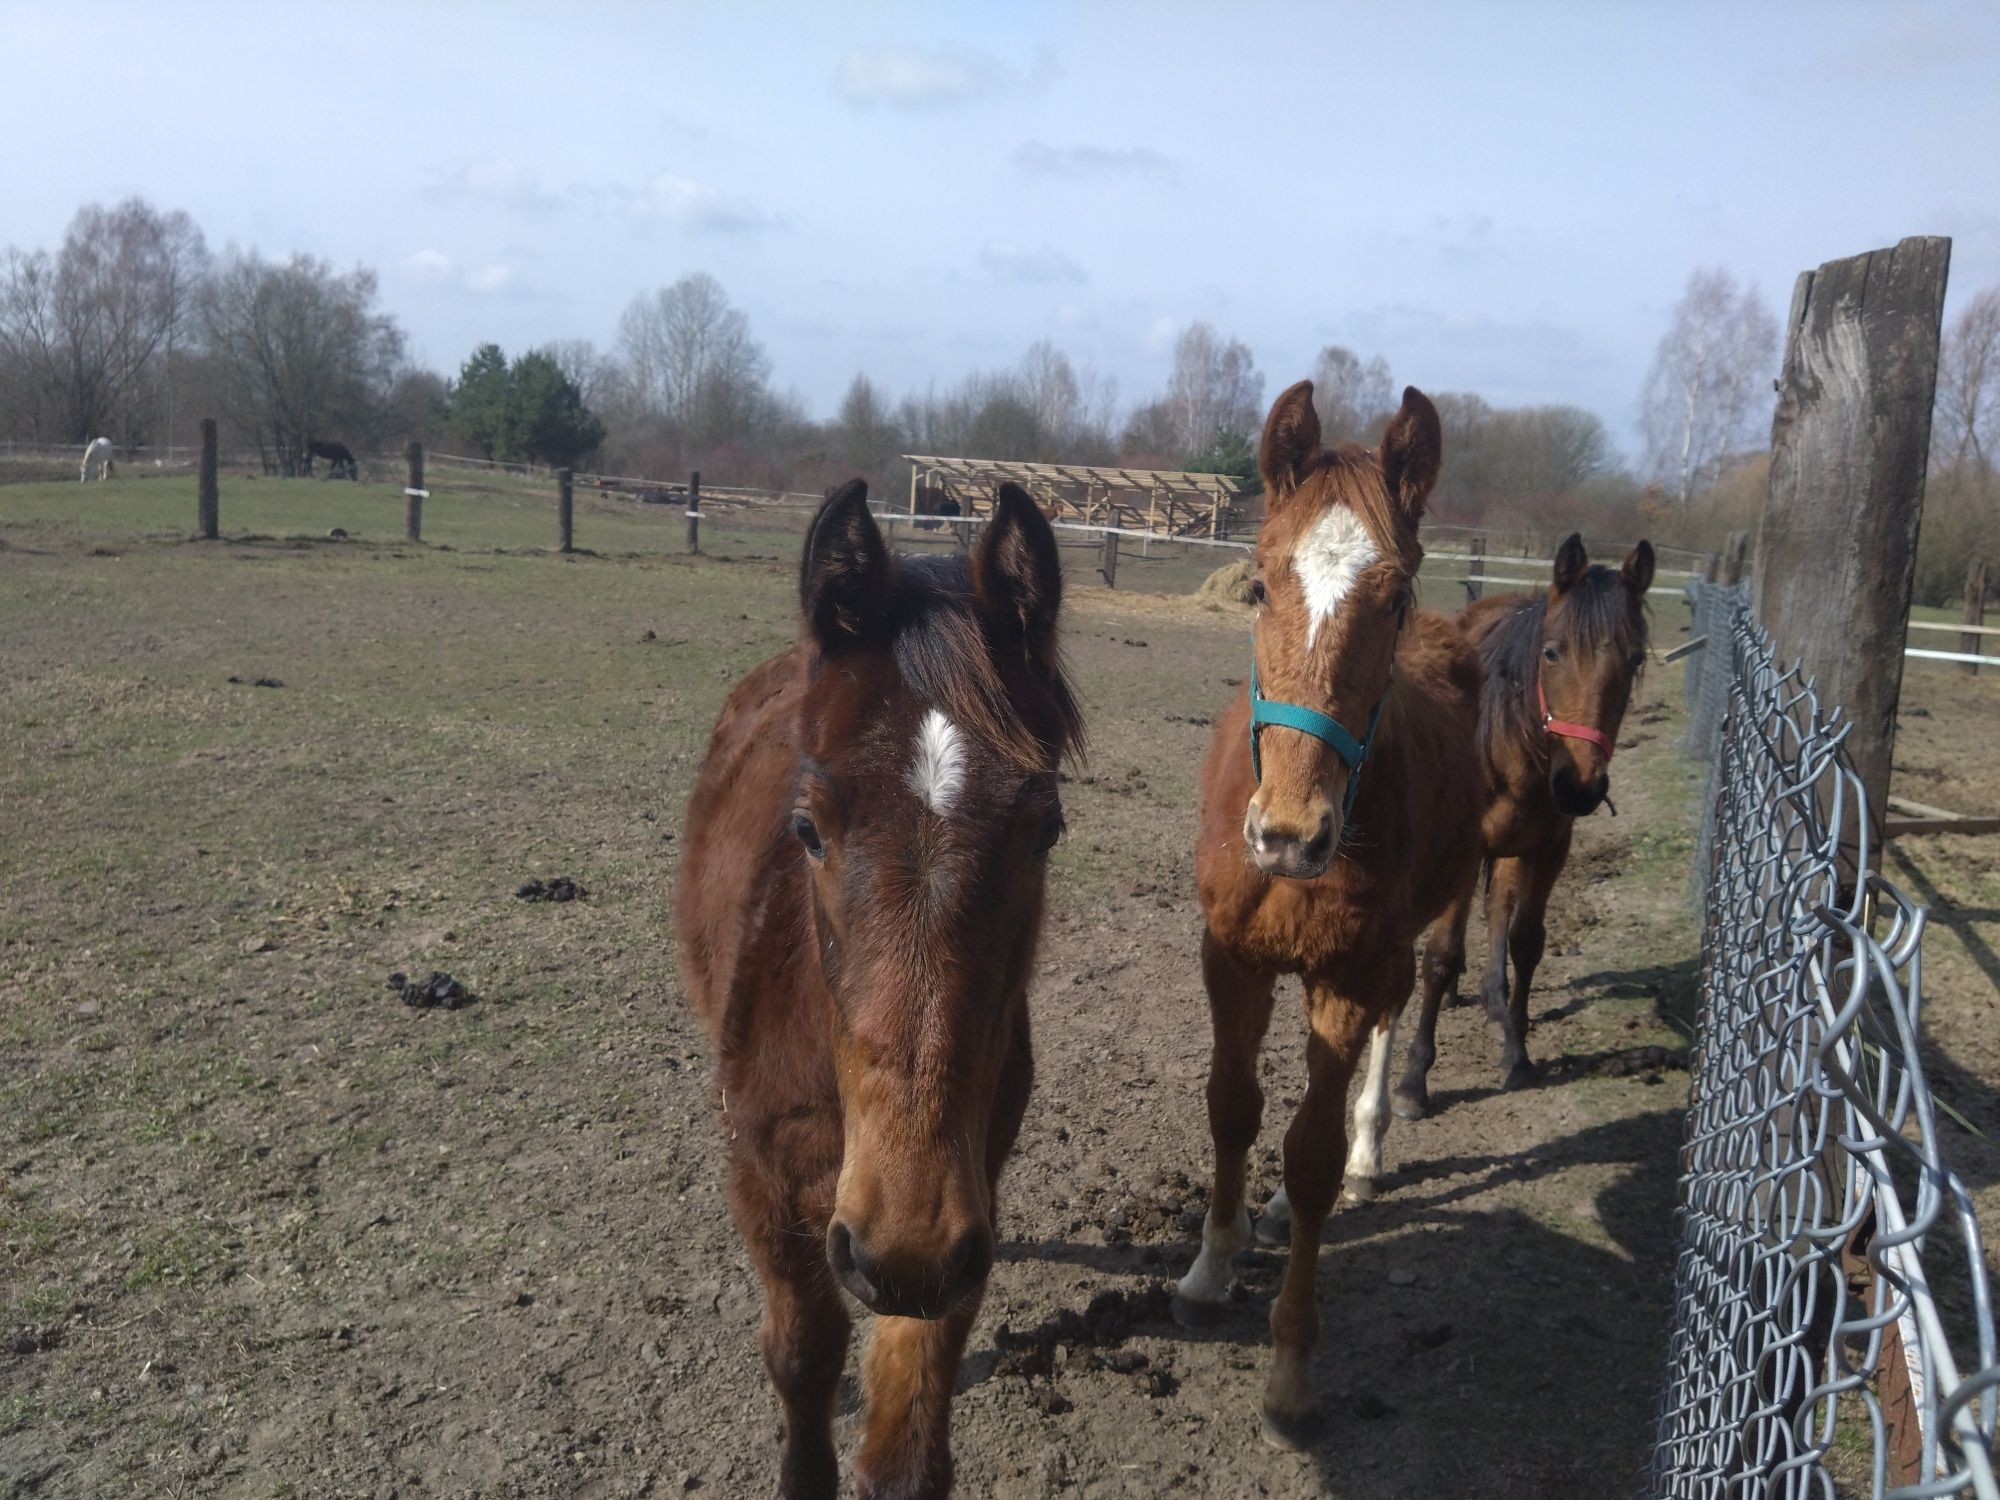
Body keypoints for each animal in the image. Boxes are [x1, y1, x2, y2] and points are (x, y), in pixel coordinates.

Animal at [676, 482, 1088, 1500]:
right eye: (808, 830)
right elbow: (803, 1355)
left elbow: (908, 1423)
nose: (898, 1241)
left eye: (1045, 830)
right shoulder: (768, 1182)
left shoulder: (948, 1226)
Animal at [1168, 382, 1488, 1448]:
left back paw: (1367, 1151)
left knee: (1394, 1017)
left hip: (1412, 931)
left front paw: (1290, 1373)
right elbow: (1231, 1107)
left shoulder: (1344, 975)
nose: (1288, 835)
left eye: (1394, 598)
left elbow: (1306, 1155)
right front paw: (1210, 1267)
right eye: (1262, 587)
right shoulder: (1231, 958)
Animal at [1392, 536, 1656, 1112]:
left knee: (1497, 910)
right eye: (1551, 652)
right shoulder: (1465, 846)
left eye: (1635, 658)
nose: (1580, 787)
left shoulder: (1550, 847)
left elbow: (1526, 942)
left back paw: (1496, 1000)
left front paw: (1517, 1052)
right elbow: (1441, 953)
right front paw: (1413, 1080)